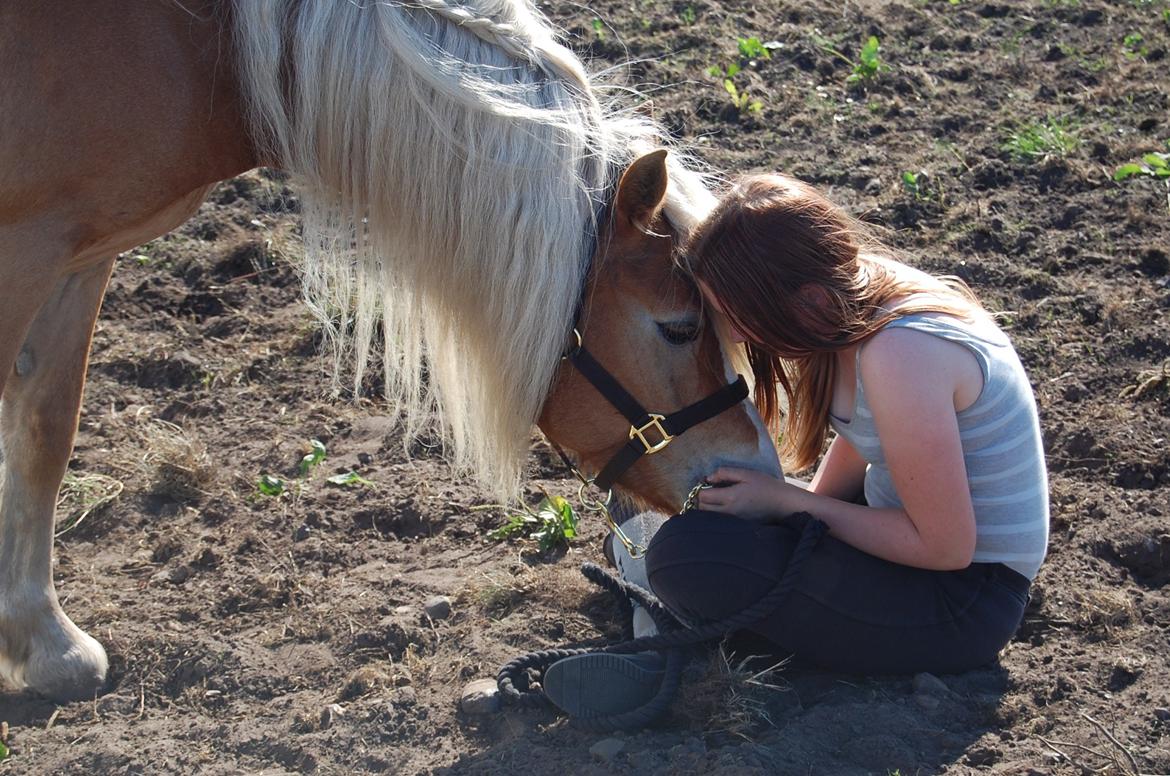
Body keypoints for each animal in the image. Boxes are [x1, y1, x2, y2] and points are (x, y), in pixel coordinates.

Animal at [2, 0, 786, 702]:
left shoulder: (82, 254)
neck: (198, 48)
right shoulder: (29, 252)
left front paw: (46, 645)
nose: (757, 473)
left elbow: (47, 431)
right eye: (680, 328)